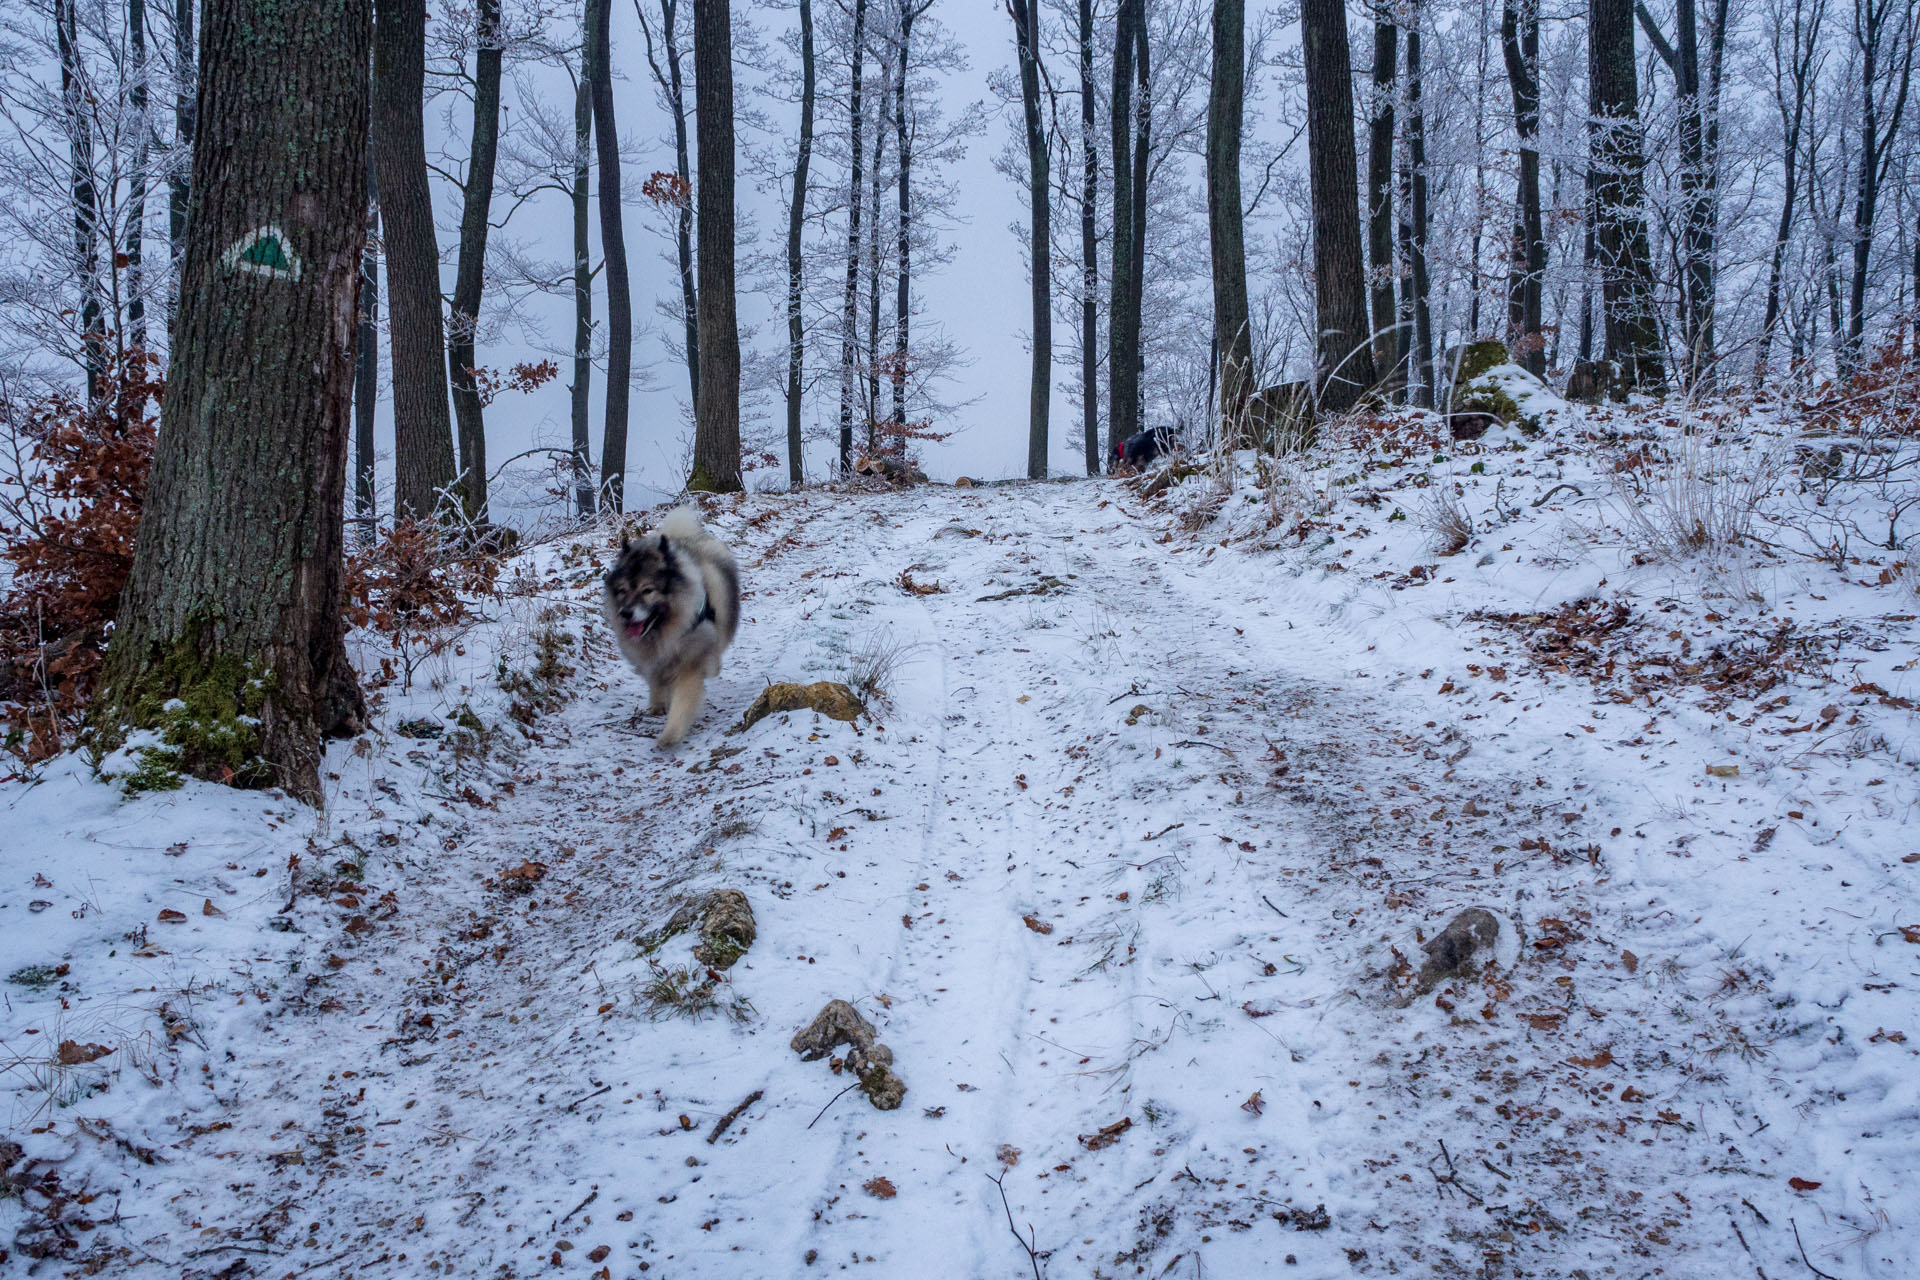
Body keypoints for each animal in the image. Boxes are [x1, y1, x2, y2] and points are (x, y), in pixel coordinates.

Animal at [602, 506, 737, 752]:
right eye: (623, 590)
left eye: (647, 590)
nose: (625, 613)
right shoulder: (654, 659)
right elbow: (655, 679)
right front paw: (657, 703)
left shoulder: (690, 662)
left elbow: (682, 701)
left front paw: (671, 735)